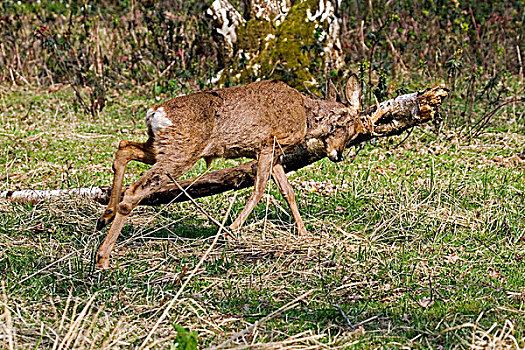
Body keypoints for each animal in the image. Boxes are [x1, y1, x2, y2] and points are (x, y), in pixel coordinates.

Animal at [95, 76, 360, 268]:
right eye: (352, 128)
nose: (338, 155)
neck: (306, 117)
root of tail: (156, 113)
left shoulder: (275, 155)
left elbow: (288, 191)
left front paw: (303, 233)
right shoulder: (267, 145)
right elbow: (260, 187)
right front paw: (231, 230)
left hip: (160, 146)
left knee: (124, 148)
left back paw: (105, 216)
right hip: (182, 151)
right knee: (134, 190)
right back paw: (103, 258)